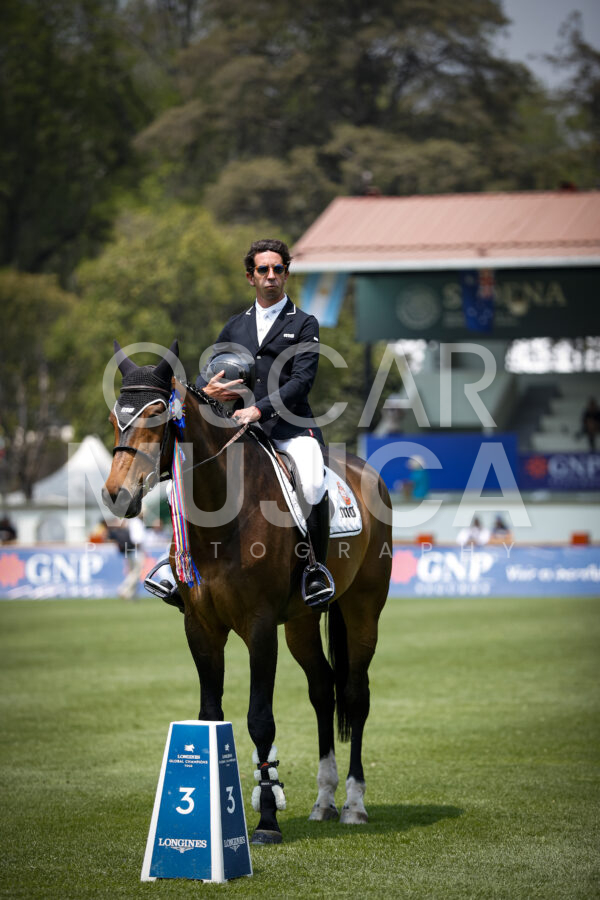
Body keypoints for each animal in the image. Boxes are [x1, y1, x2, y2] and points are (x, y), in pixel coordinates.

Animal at [102, 339, 392, 844]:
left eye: (157, 414)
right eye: (117, 416)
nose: (117, 494)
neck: (223, 513)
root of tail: (364, 471)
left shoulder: (259, 627)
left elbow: (260, 719)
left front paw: (268, 819)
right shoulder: (200, 627)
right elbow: (210, 714)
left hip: (362, 609)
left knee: (355, 694)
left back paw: (354, 804)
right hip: (300, 622)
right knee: (323, 689)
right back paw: (324, 801)